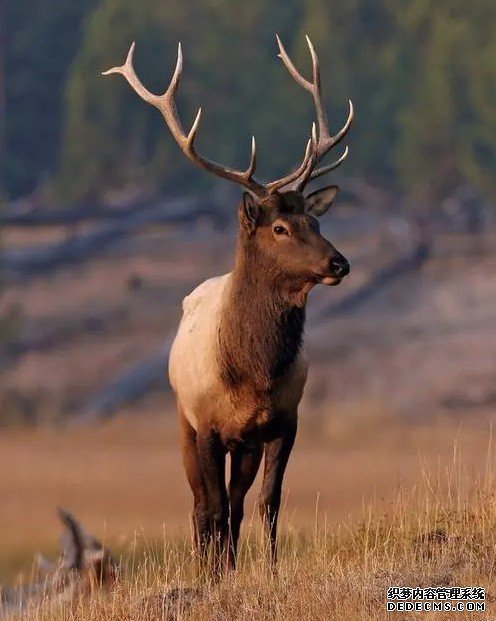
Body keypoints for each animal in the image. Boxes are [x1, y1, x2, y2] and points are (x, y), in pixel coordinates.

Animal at [103, 36, 352, 572]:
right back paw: (210, 566)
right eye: (279, 228)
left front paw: (270, 572)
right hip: (182, 421)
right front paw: (215, 576)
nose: (340, 263)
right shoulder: (207, 425)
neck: (253, 374)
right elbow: (212, 509)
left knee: (237, 505)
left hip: (246, 443)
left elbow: (267, 504)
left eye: (315, 222)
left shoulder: (284, 421)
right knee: (202, 506)